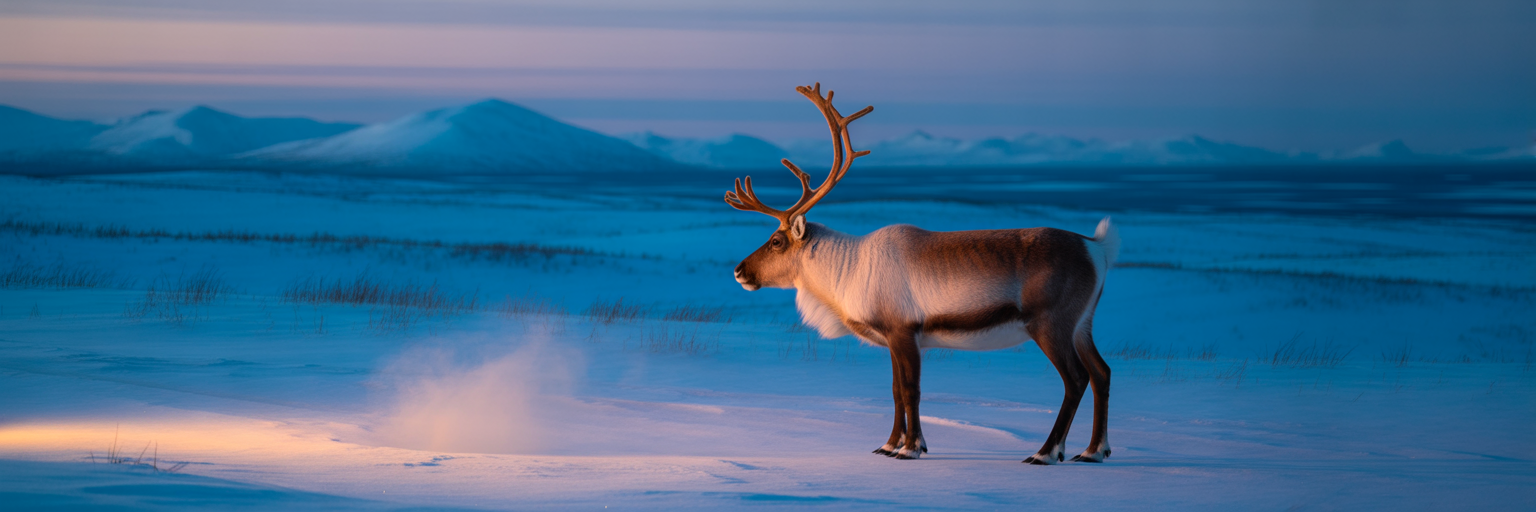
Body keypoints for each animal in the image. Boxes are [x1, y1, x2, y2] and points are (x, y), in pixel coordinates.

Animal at [725, 83, 1120, 464]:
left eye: (776, 241)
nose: (739, 271)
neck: (845, 273)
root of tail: (1099, 248)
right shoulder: (890, 336)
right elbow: (895, 391)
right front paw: (888, 445)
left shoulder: (904, 330)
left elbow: (911, 390)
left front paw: (911, 447)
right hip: (1082, 324)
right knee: (1101, 372)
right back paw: (1093, 451)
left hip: (1050, 324)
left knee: (1076, 379)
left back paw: (1046, 452)